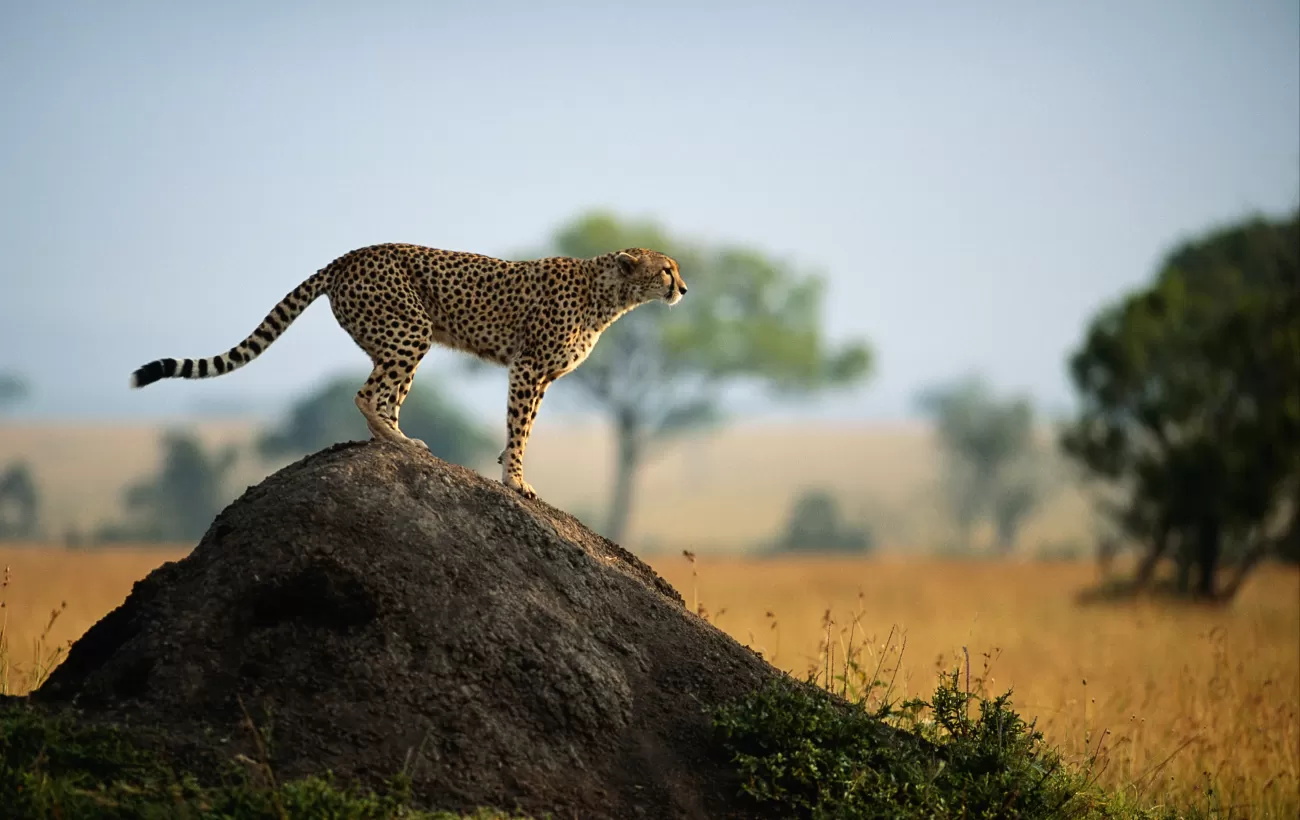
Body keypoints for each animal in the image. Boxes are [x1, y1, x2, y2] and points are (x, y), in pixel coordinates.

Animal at [126, 241, 686, 501]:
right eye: (666, 269)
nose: (683, 288)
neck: (609, 294)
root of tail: (350, 255)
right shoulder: (528, 369)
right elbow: (520, 428)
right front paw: (516, 481)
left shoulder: (540, 377)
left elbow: (520, 428)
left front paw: (508, 468)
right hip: (409, 331)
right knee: (366, 394)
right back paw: (397, 441)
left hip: (401, 338)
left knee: (387, 395)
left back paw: (396, 440)